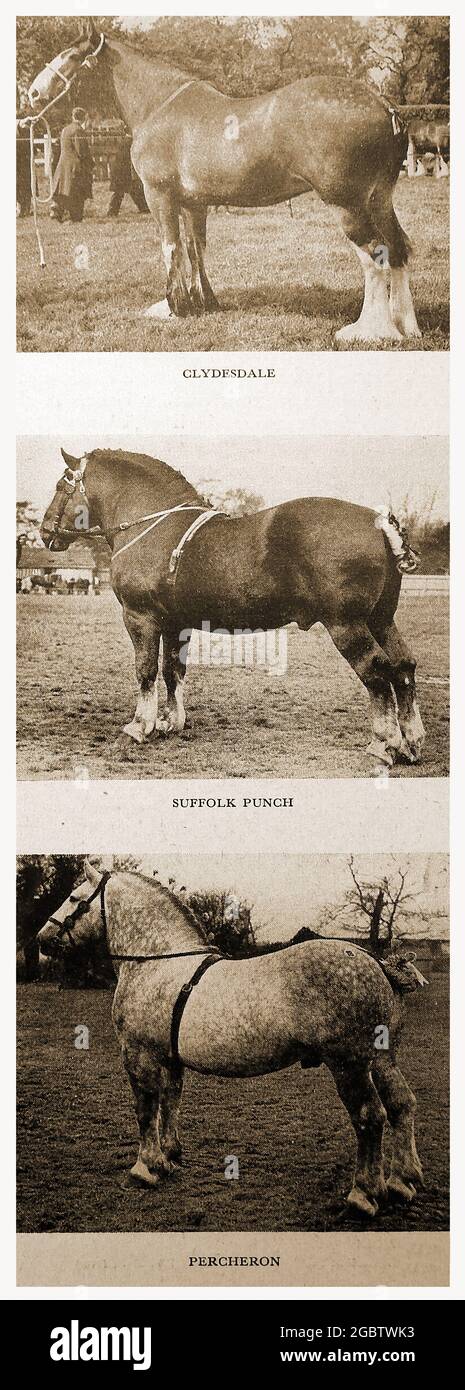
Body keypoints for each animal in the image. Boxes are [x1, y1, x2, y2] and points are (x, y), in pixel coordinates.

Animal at [27, 18, 421, 343]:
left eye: (71, 57)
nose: (32, 93)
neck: (159, 106)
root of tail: (383, 105)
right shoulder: (193, 203)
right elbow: (195, 249)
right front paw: (203, 302)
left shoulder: (160, 197)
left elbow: (170, 247)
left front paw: (175, 307)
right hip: (379, 199)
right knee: (398, 249)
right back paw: (406, 326)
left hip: (346, 204)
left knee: (375, 255)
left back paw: (371, 332)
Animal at [37, 861, 425, 1218]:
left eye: (74, 898)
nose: (41, 940)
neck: (156, 963)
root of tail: (376, 963)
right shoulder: (171, 1058)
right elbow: (170, 1101)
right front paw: (170, 1158)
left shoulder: (138, 1053)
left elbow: (145, 1108)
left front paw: (145, 1168)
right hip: (382, 1059)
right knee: (401, 1104)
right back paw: (402, 1181)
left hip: (349, 1064)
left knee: (369, 1116)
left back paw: (364, 1194)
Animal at [40, 446, 425, 770]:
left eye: (62, 485)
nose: (45, 532)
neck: (153, 526)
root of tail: (379, 522)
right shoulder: (175, 624)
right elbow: (172, 671)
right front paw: (170, 723)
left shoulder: (140, 618)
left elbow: (146, 670)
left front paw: (139, 727)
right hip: (381, 620)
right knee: (403, 667)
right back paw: (411, 742)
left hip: (347, 626)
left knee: (378, 673)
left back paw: (384, 745)